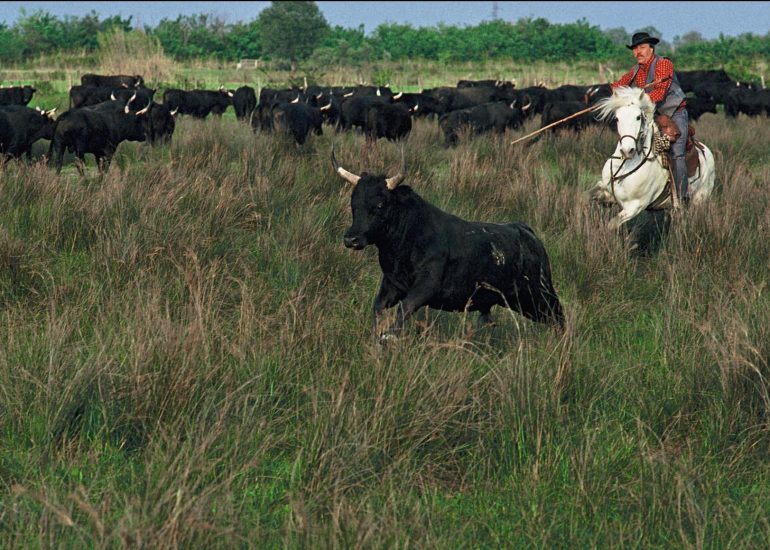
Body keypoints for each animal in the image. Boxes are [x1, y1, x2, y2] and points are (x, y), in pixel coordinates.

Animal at [331, 149, 564, 340]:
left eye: (379, 204)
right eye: (353, 204)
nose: (351, 239)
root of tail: (524, 230)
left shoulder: (426, 285)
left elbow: (405, 308)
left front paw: (389, 337)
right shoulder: (392, 284)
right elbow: (378, 307)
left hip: (538, 296)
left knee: (559, 317)